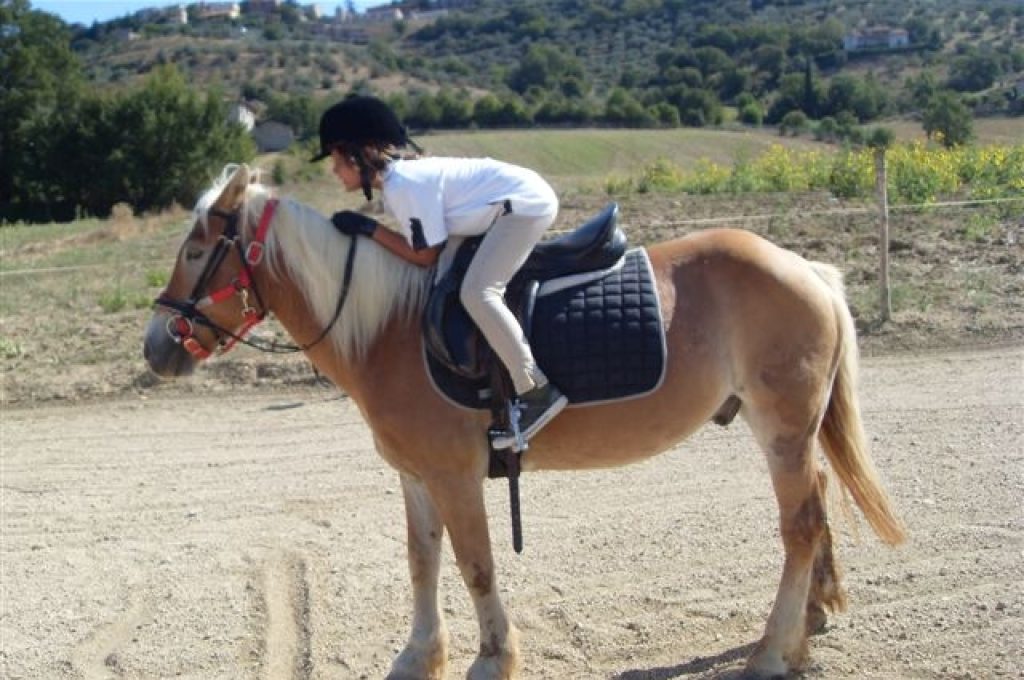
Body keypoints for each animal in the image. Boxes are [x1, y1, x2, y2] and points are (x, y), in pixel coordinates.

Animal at [144, 164, 905, 679]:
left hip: (783, 427)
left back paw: (775, 649)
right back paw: (810, 617)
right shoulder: (416, 476)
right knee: (817, 509)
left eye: (196, 250)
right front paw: (421, 654)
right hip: (789, 431)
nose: (155, 348)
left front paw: (492, 657)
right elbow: (421, 560)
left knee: (799, 525)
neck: (389, 326)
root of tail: (803, 266)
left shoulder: (455, 476)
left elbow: (475, 564)